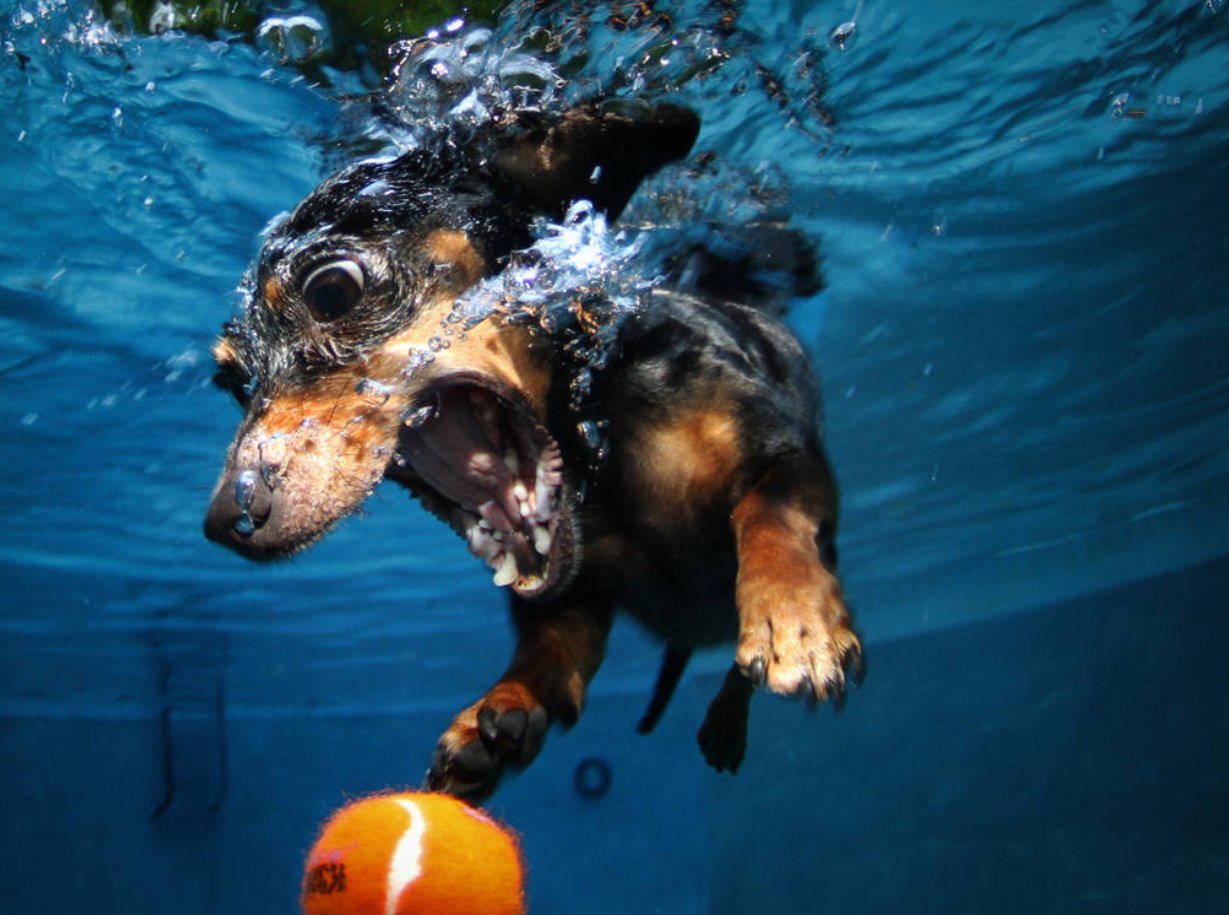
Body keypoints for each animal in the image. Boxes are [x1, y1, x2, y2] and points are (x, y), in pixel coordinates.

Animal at [204, 101, 865, 800]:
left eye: (331, 290)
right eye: (232, 382)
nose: (223, 522)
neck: (591, 443)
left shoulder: (791, 457)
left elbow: (770, 514)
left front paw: (794, 617)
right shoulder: (572, 601)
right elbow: (548, 654)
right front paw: (498, 713)